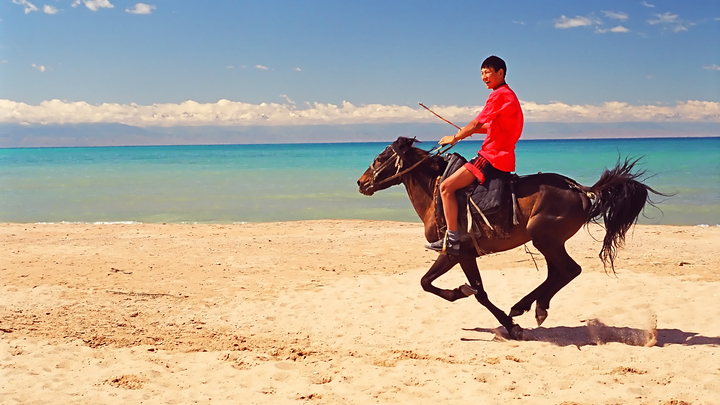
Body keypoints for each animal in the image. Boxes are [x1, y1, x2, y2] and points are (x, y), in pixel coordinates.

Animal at [356, 137, 664, 340]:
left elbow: (458, 289)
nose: (361, 182)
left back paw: (524, 307)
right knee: (558, 273)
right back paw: (534, 306)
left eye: (381, 158)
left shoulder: (456, 252)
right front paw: (505, 318)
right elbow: (451, 286)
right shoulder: (463, 255)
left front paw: (490, 312)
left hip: (545, 239)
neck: (437, 191)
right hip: (549, 243)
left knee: (569, 270)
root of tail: (580, 189)